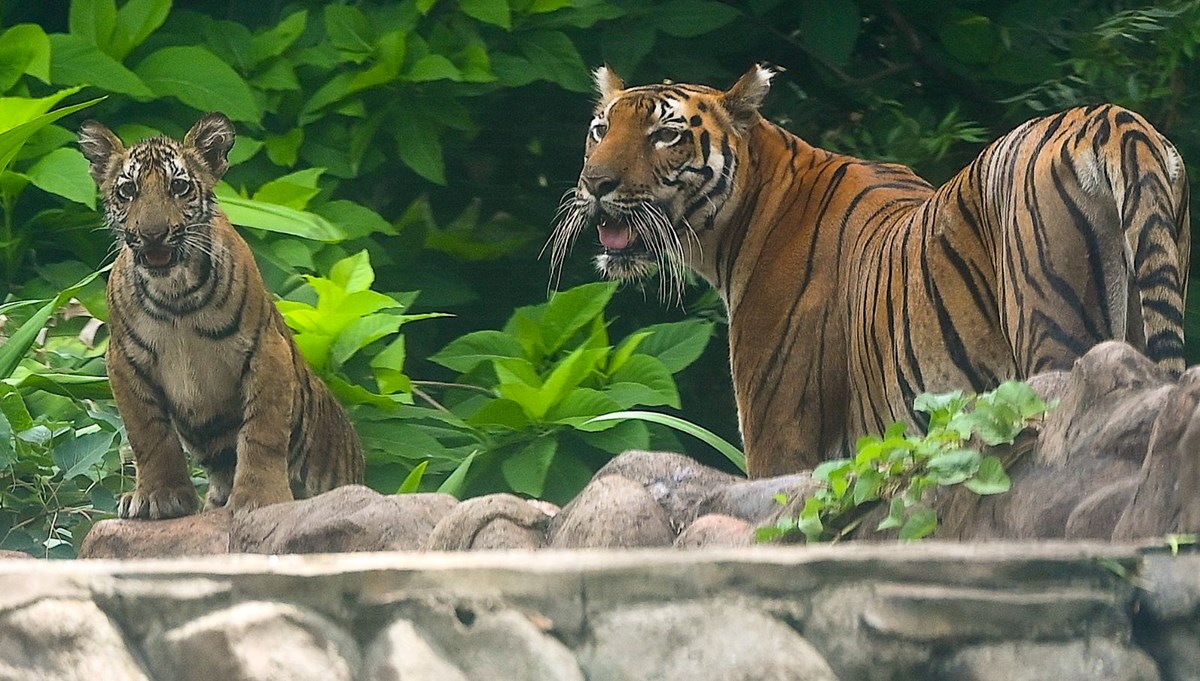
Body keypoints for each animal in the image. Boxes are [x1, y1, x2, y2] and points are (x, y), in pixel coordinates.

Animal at [79, 114, 362, 517]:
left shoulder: (266, 351)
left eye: (179, 186)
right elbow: (149, 434)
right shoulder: (124, 361)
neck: (175, 294)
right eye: (128, 191)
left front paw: (260, 499)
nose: (152, 234)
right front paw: (158, 496)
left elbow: (262, 432)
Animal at [549, 66, 1190, 477]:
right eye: (601, 129)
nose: (594, 184)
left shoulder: (781, 441)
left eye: (666, 134)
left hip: (1052, 332)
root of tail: (1112, 118)